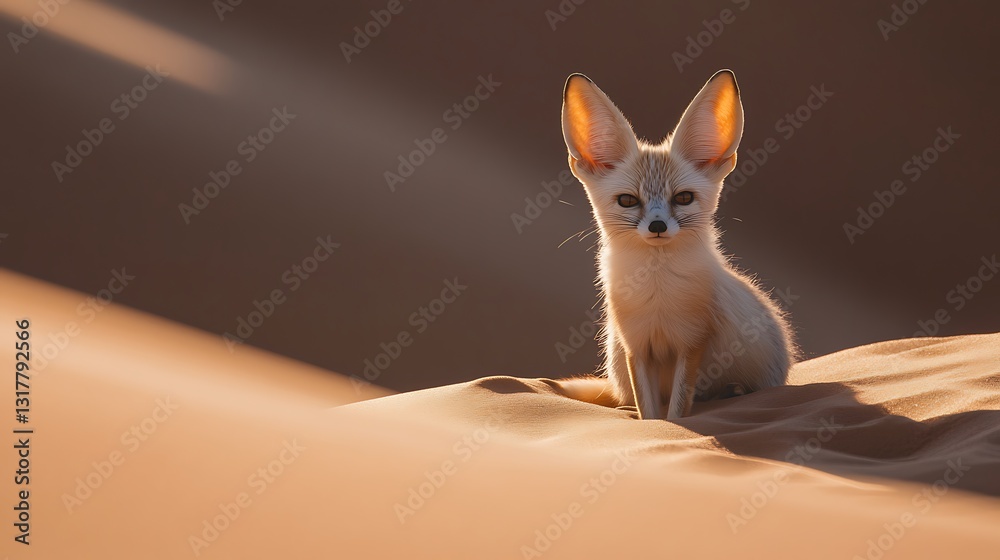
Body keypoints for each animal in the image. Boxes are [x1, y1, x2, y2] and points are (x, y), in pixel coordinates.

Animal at [557, 70, 795, 420]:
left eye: (683, 198)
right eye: (628, 200)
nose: (657, 226)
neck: (658, 294)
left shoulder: (691, 342)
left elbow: (677, 411)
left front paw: (672, 425)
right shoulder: (636, 346)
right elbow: (649, 412)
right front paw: (649, 427)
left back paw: (730, 391)